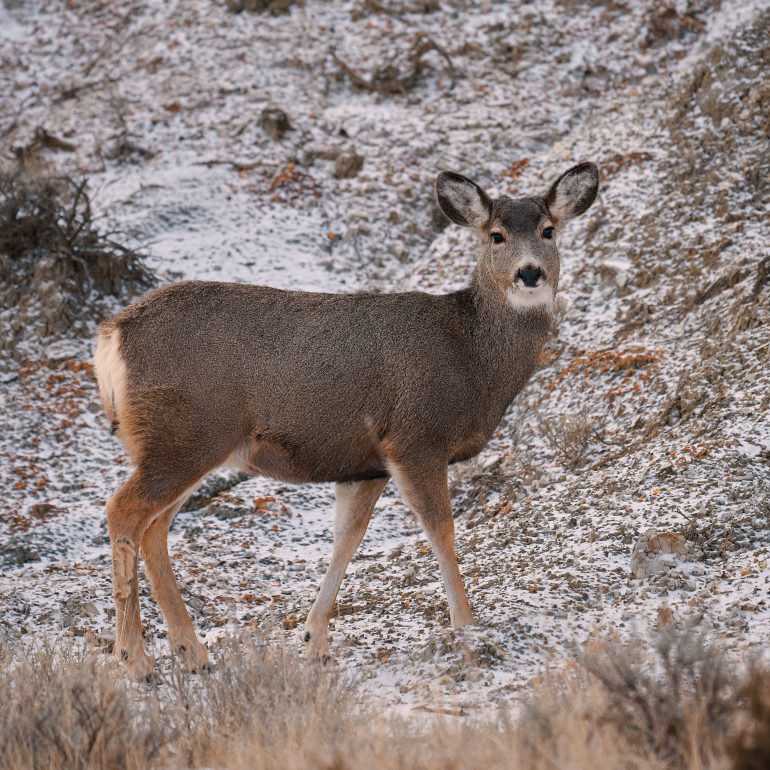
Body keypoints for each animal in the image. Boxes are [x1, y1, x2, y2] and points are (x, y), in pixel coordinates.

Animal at [94, 162, 598, 679]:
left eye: (548, 230)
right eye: (496, 236)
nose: (530, 272)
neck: (471, 355)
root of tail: (111, 335)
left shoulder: (367, 464)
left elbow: (347, 539)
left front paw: (314, 640)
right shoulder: (416, 438)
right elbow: (441, 530)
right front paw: (467, 626)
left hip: (186, 442)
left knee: (154, 526)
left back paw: (191, 652)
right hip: (186, 433)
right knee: (125, 510)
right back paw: (135, 658)